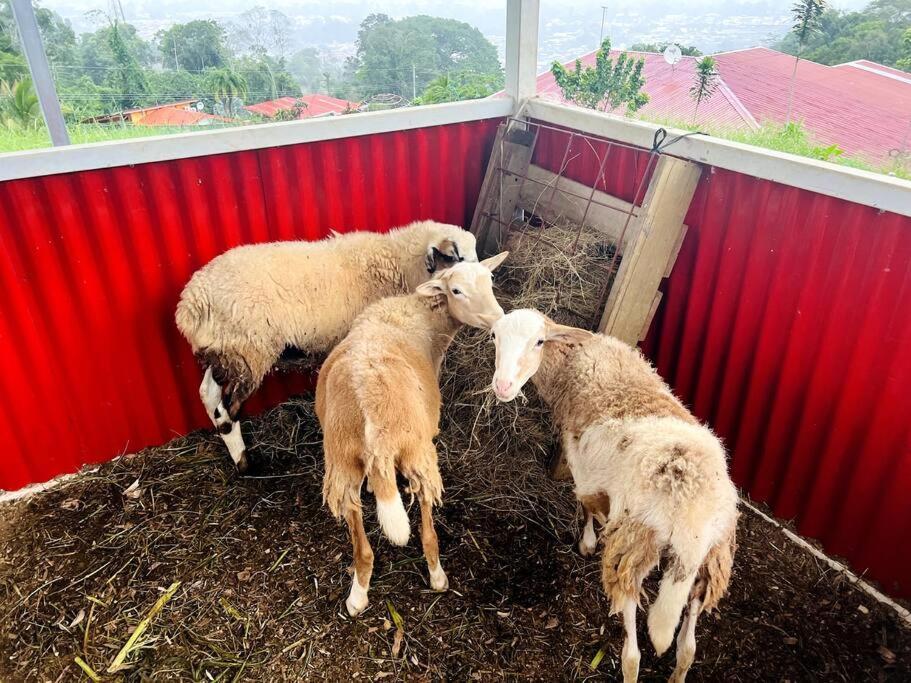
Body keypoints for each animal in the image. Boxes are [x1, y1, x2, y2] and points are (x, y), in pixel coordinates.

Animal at [174, 222, 480, 472]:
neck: (398, 265)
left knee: (208, 395)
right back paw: (246, 463)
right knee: (227, 408)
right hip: (250, 350)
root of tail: (192, 304)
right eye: (457, 258)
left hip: (224, 352)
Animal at [318, 254, 510, 616]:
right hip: (418, 451)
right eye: (456, 290)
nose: (498, 321)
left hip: (341, 459)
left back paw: (358, 596)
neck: (421, 313)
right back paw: (437, 575)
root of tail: (370, 404)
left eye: (490, 282)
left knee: (362, 545)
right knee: (426, 526)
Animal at [488, 312, 736, 683]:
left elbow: (587, 504)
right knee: (687, 648)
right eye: (494, 337)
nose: (502, 387)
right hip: (711, 559)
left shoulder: (582, 464)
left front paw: (588, 541)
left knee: (632, 652)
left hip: (633, 545)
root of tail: (691, 511)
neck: (577, 363)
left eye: (538, 341)